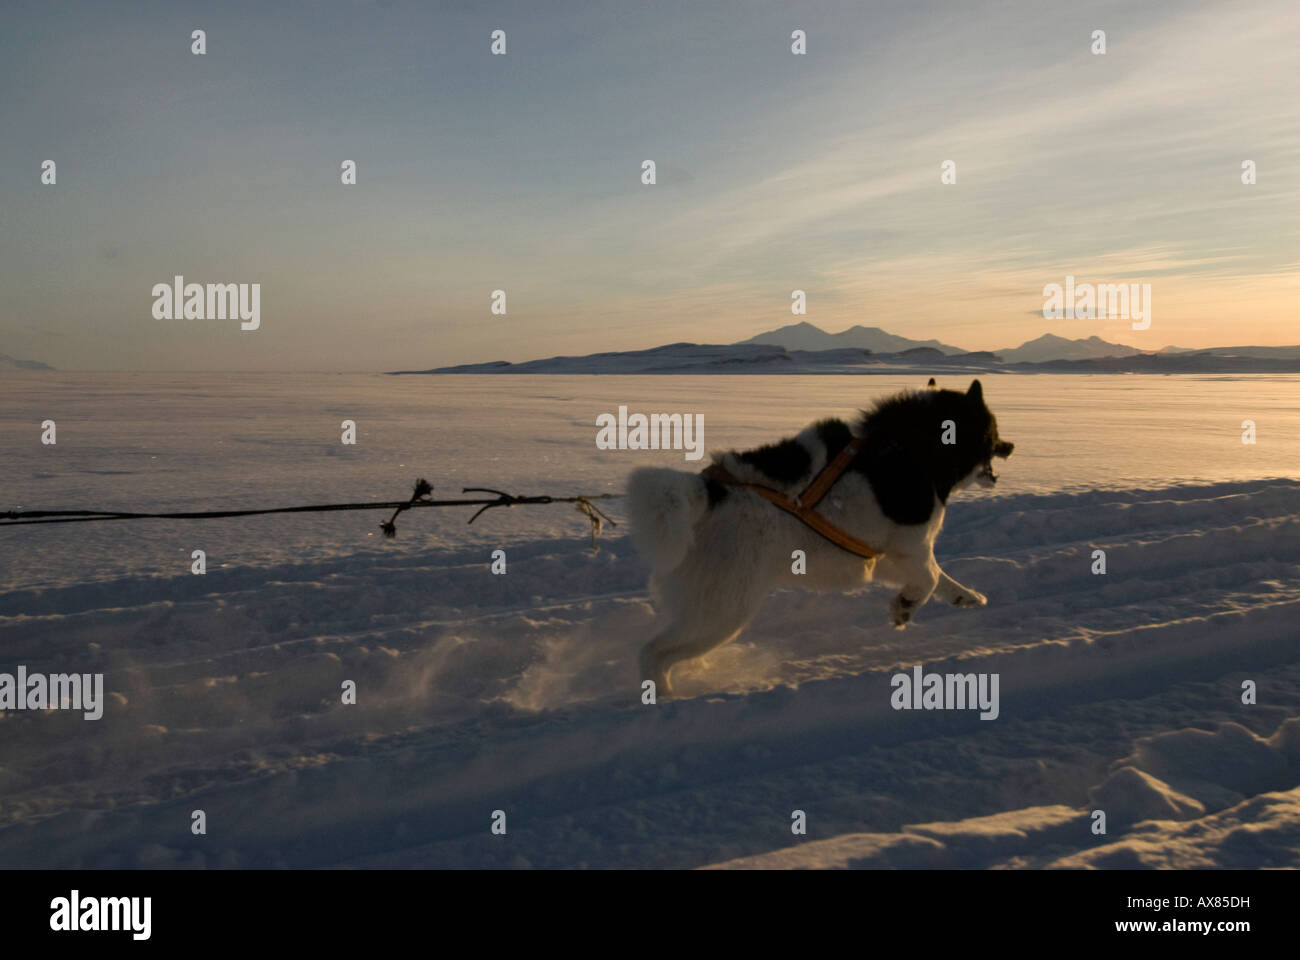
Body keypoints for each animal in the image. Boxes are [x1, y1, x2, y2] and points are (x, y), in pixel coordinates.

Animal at [629, 374, 1013, 697]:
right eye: (993, 428)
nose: (1010, 445)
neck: (914, 447)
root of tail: (707, 494)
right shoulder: (910, 548)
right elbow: (930, 578)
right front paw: (904, 608)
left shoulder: (884, 557)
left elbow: (939, 578)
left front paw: (965, 597)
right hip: (724, 611)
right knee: (652, 651)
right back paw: (664, 698)